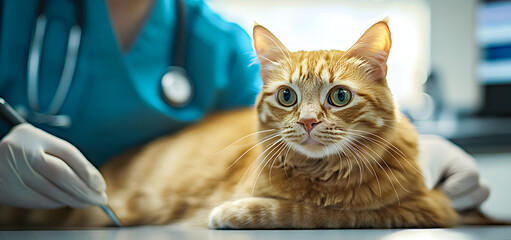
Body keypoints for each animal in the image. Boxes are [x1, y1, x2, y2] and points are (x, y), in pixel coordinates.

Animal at [0, 20, 460, 229]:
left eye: (339, 97)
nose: (309, 121)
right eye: (288, 97)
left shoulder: (423, 209)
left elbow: (311, 212)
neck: (321, 175)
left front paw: (236, 212)